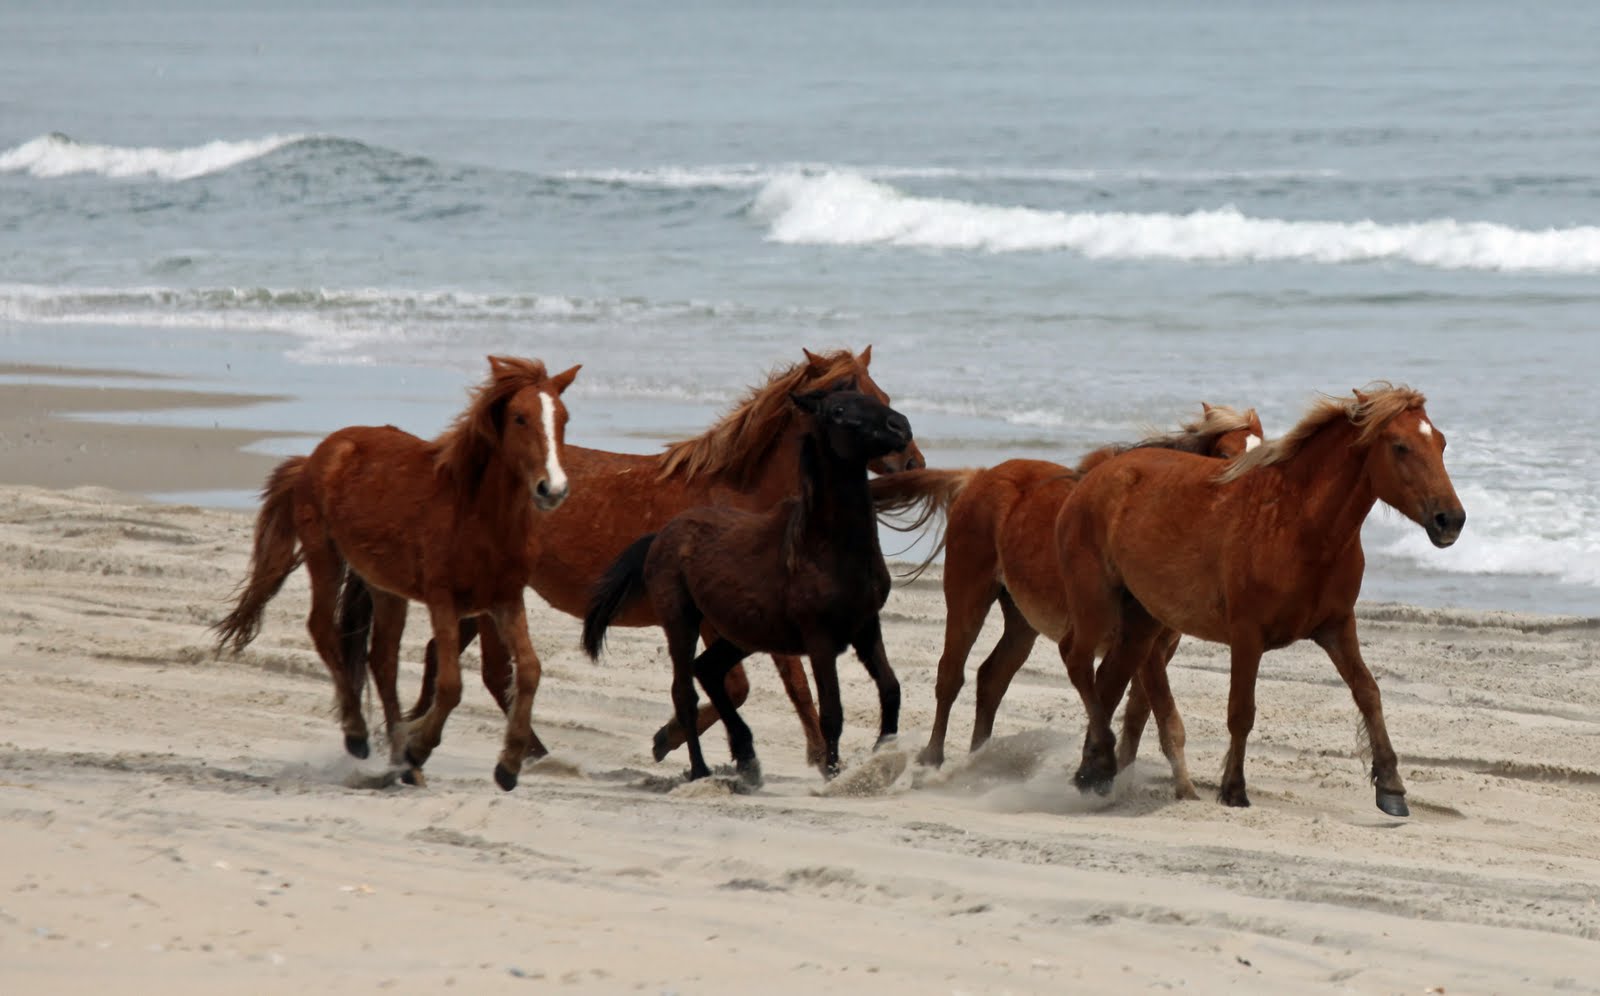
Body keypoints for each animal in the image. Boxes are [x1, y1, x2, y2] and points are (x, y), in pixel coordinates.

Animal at [213, 356, 581, 792]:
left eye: (564, 418)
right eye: (520, 417)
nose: (552, 489)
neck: (477, 516)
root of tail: (315, 456)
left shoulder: (505, 599)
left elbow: (529, 671)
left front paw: (507, 765)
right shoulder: (444, 600)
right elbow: (450, 684)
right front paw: (421, 747)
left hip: (385, 588)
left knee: (382, 660)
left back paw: (400, 760)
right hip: (326, 557)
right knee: (323, 629)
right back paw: (360, 736)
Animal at [582, 388, 913, 786]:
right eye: (838, 410)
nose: (901, 427)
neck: (827, 548)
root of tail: (661, 535)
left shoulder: (866, 627)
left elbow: (890, 689)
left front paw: (882, 756)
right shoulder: (820, 640)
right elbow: (832, 713)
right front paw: (834, 776)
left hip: (742, 634)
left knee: (708, 670)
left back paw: (746, 758)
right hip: (681, 622)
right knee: (685, 693)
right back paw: (701, 770)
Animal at [872, 404, 1263, 798]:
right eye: (1225, 455)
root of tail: (978, 477)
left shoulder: (1161, 646)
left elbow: (1136, 715)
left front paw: (1120, 776)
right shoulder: (1147, 647)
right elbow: (1164, 717)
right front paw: (1183, 790)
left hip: (1022, 621)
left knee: (992, 677)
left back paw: (978, 762)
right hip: (968, 597)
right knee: (951, 675)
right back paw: (932, 761)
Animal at [1054, 384, 1465, 815]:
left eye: (1441, 442)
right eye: (1401, 446)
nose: (1451, 520)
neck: (1297, 524)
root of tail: (1093, 478)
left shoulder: (1337, 626)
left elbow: (1368, 692)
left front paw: (1391, 786)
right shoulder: (1247, 635)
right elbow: (1241, 711)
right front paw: (1233, 790)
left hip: (1142, 622)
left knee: (1108, 680)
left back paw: (1094, 773)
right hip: (1096, 601)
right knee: (1076, 659)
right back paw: (1100, 761)